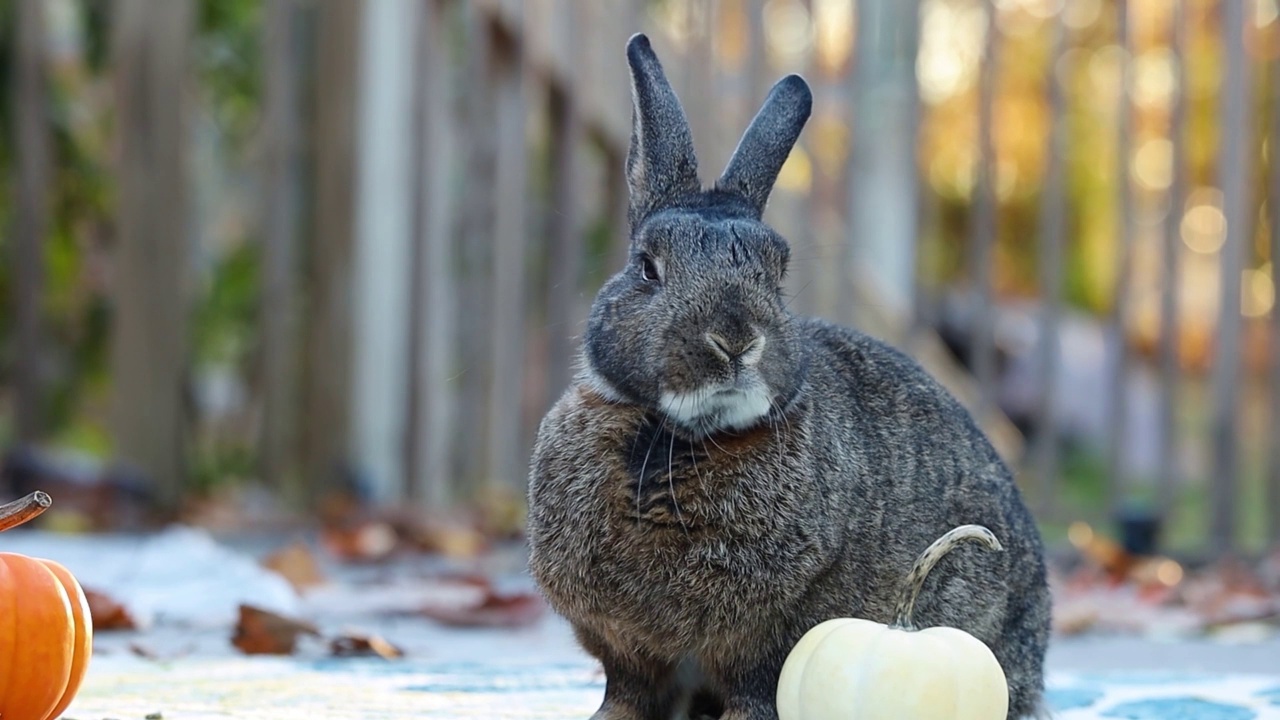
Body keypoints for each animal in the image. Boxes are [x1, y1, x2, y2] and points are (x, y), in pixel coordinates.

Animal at [524, 32, 1044, 717]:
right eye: (647, 268)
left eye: (777, 271)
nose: (735, 340)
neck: (674, 438)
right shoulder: (623, 645)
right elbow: (628, 691)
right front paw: (604, 717)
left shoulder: (778, 631)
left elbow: (755, 687)